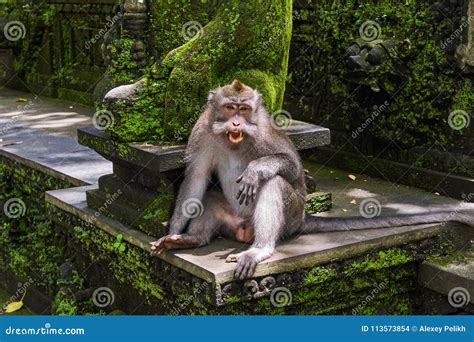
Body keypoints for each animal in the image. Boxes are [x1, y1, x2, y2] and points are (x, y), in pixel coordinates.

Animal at [151, 80, 474, 280]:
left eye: (244, 109)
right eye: (230, 107)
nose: (236, 123)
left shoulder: (264, 131)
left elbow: (292, 167)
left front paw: (256, 169)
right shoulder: (201, 131)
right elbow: (196, 179)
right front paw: (174, 231)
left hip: (290, 217)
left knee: (275, 183)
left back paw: (259, 249)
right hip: (234, 220)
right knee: (211, 195)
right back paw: (193, 239)